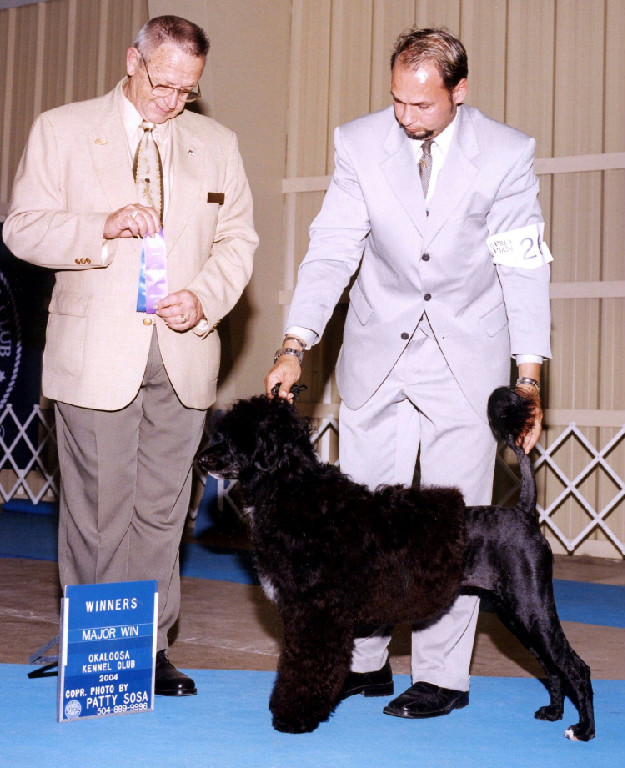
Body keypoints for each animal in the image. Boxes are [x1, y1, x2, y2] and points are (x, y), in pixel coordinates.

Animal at [201, 388, 596, 740]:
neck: (298, 496)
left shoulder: (317, 614)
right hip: (514, 613)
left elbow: (305, 668)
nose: (204, 459)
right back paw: (553, 712)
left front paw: (295, 717)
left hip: (531, 607)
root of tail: (523, 512)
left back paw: (583, 730)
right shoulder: (306, 614)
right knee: (552, 667)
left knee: (575, 666)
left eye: (240, 434)